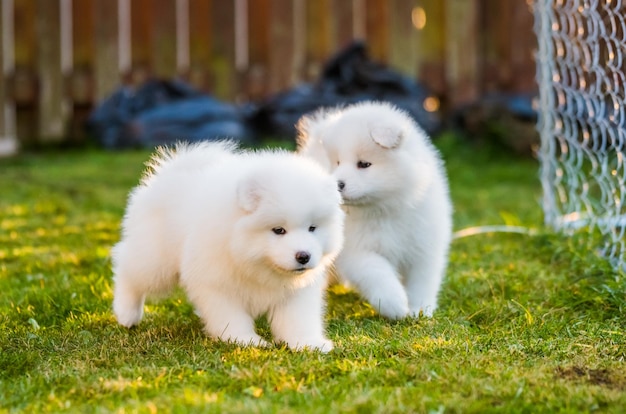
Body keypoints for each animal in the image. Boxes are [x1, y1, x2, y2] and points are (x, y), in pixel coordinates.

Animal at [114, 141, 344, 350]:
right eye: (279, 230)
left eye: (312, 228)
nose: (303, 256)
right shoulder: (218, 283)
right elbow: (231, 316)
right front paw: (245, 340)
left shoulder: (296, 291)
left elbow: (298, 319)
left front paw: (309, 343)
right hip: (156, 259)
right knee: (127, 268)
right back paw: (127, 314)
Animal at [294, 101, 450, 320]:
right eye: (337, 162)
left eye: (364, 164)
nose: (337, 184)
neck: (382, 209)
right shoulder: (356, 250)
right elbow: (377, 272)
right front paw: (395, 304)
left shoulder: (423, 246)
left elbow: (422, 281)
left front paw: (420, 310)